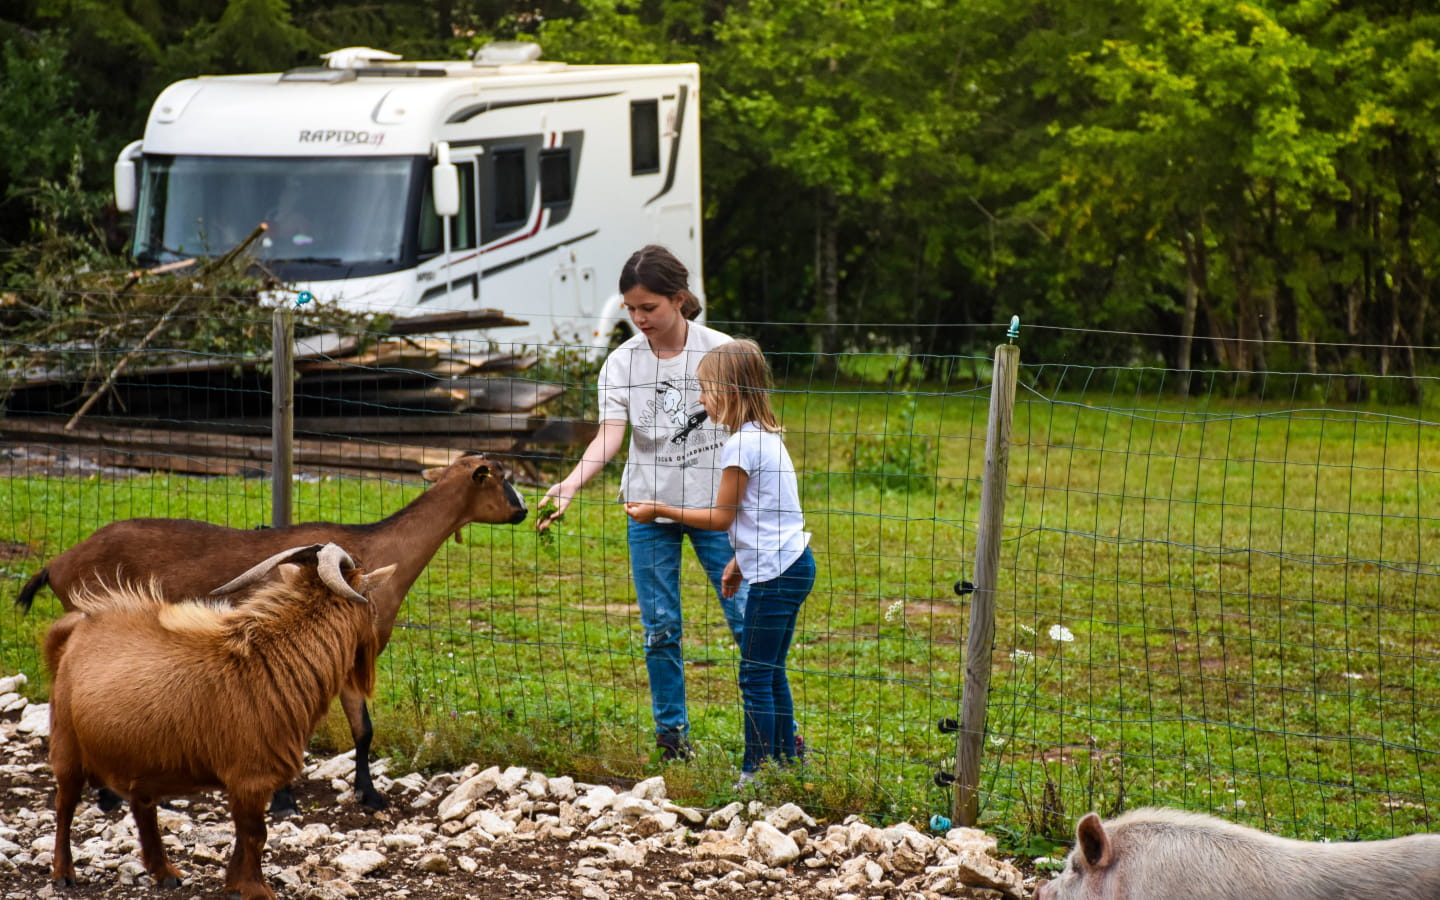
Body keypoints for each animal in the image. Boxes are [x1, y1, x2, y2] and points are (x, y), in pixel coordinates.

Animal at [15, 452, 529, 812]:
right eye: (502, 477)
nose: (524, 512)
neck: (378, 549)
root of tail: (57, 563)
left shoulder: (348, 659)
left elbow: (363, 731)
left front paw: (369, 795)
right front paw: (283, 801)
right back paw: (108, 797)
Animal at [45, 541, 394, 898]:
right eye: (371, 604)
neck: (271, 659)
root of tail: (76, 629)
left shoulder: (247, 782)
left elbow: (246, 834)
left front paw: (235, 884)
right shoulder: (251, 776)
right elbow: (255, 834)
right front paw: (256, 889)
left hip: (140, 757)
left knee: (143, 805)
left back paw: (165, 872)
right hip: (67, 741)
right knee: (65, 803)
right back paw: (63, 874)